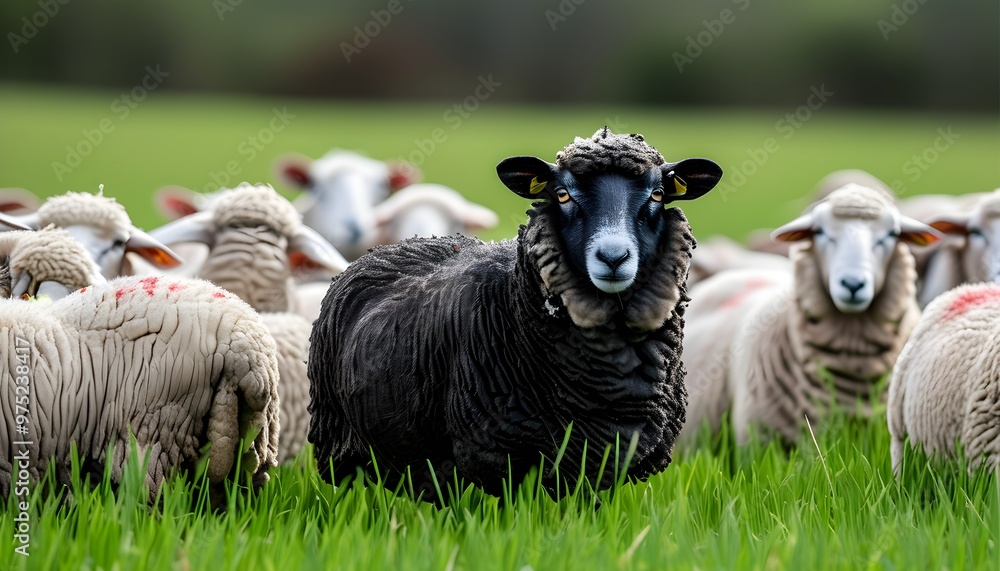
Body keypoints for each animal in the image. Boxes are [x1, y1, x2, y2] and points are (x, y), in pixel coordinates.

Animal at [308, 127, 724, 498]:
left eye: (658, 194)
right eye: (562, 194)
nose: (613, 257)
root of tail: (401, 245)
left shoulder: (600, 465)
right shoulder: (499, 458)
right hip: (342, 448)